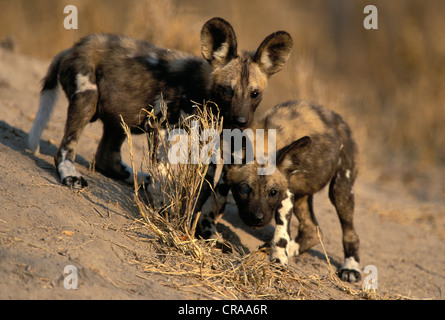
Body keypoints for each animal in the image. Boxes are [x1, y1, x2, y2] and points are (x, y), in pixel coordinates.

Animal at [26, 17, 292, 189]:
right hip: (87, 98)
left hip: (120, 117)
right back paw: (70, 175)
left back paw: (136, 178)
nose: (241, 121)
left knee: (105, 157)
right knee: (65, 149)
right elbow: (166, 174)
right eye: (228, 90)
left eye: (255, 94)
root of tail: (75, 46)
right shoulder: (163, 129)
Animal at [201, 100, 360, 282]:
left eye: (273, 193)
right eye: (244, 189)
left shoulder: (286, 193)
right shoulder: (224, 178)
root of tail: (337, 118)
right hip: (302, 197)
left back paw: (351, 267)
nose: (257, 219)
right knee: (312, 229)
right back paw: (288, 248)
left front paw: (278, 260)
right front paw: (211, 235)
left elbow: (281, 232)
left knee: (350, 233)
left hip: (340, 190)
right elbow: (212, 205)